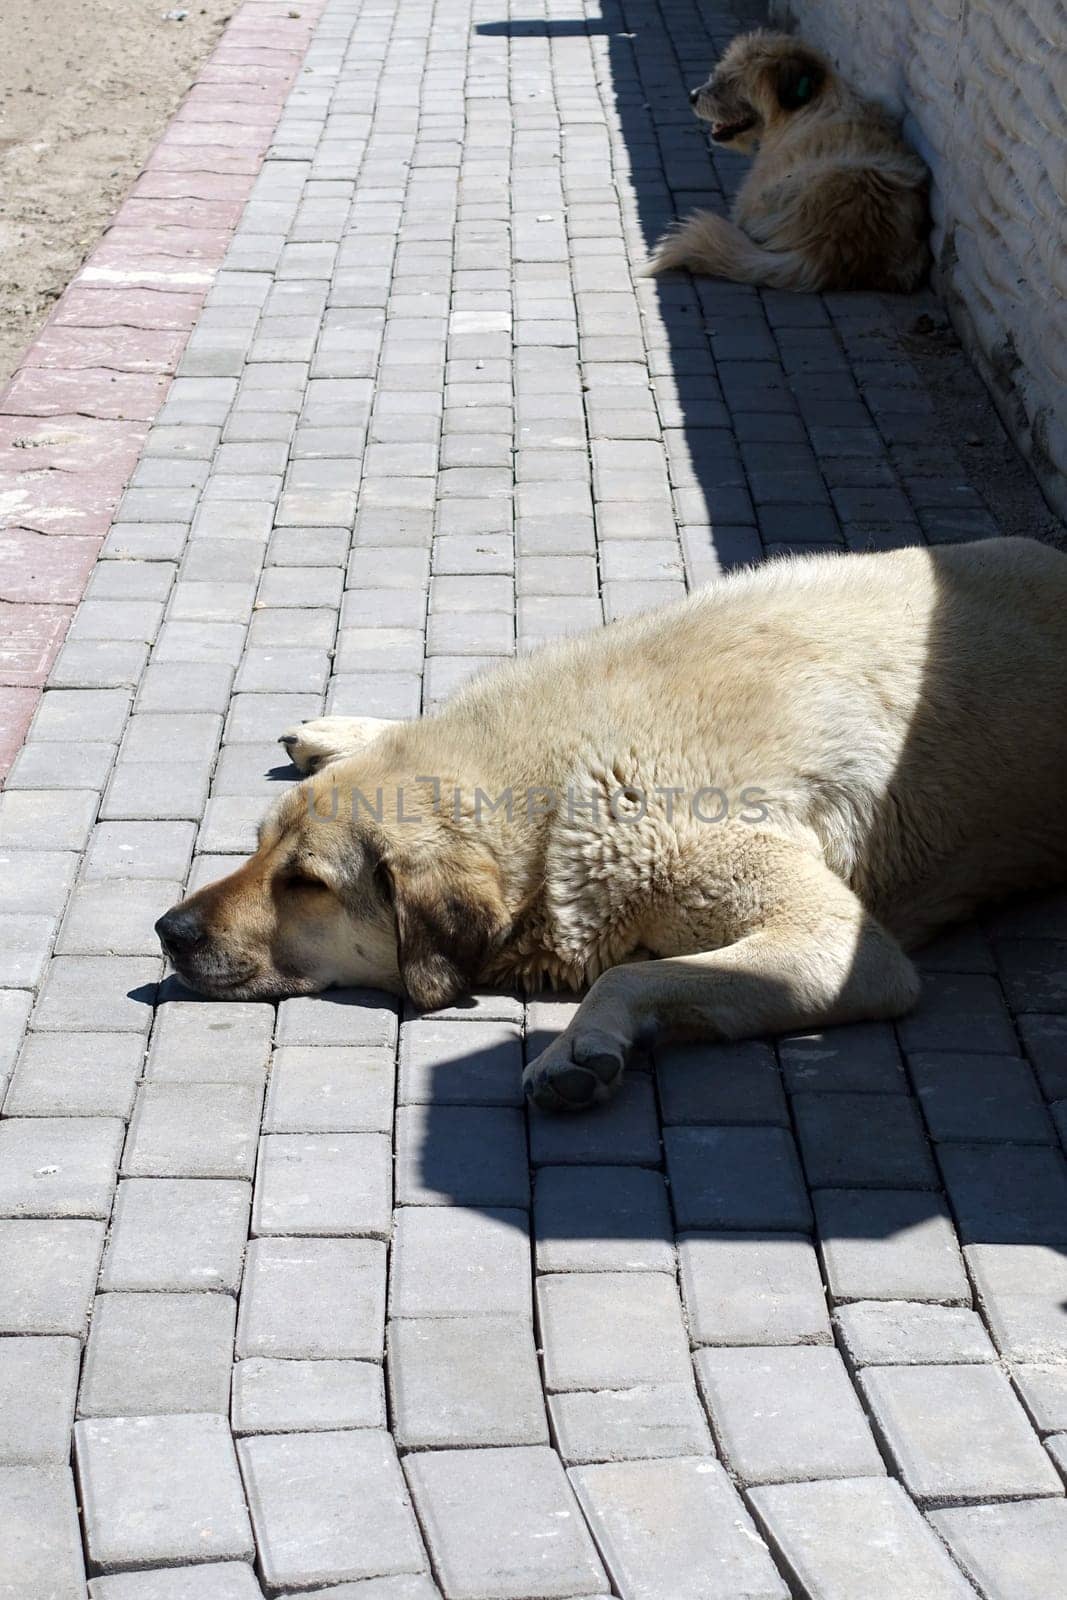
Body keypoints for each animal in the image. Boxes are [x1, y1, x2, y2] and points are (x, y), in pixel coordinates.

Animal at [156, 537, 1067, 1113]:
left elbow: (627, 975)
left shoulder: (838, 946)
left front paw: (579, 1047)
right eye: (258, 849)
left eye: (305, 884)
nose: (170, 931)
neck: (545, 780)